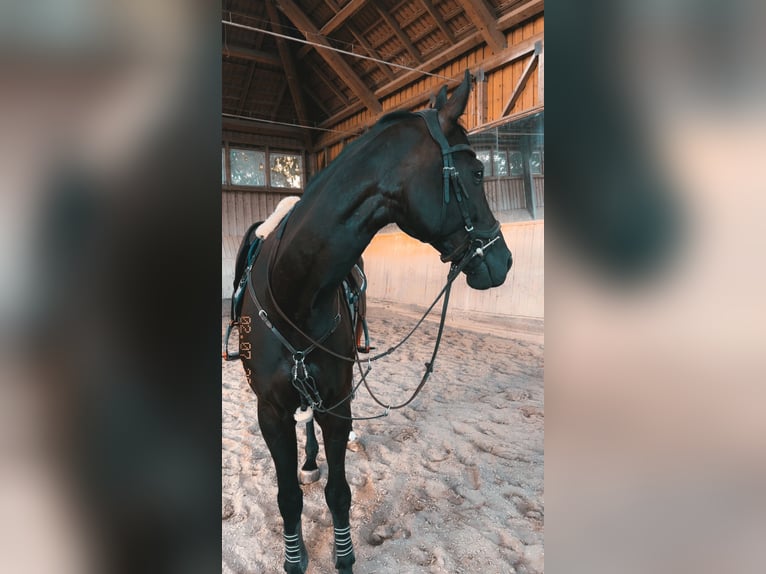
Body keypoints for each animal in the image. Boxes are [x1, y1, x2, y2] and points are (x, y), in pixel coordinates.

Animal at [235, 70, 512, 574]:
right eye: (478, 172)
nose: (503, 260)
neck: (296, 290)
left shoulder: (336, 399)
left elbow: (339, 493)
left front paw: (343, 556)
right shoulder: (271, 411)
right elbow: (287, 498)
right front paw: (294, 557)